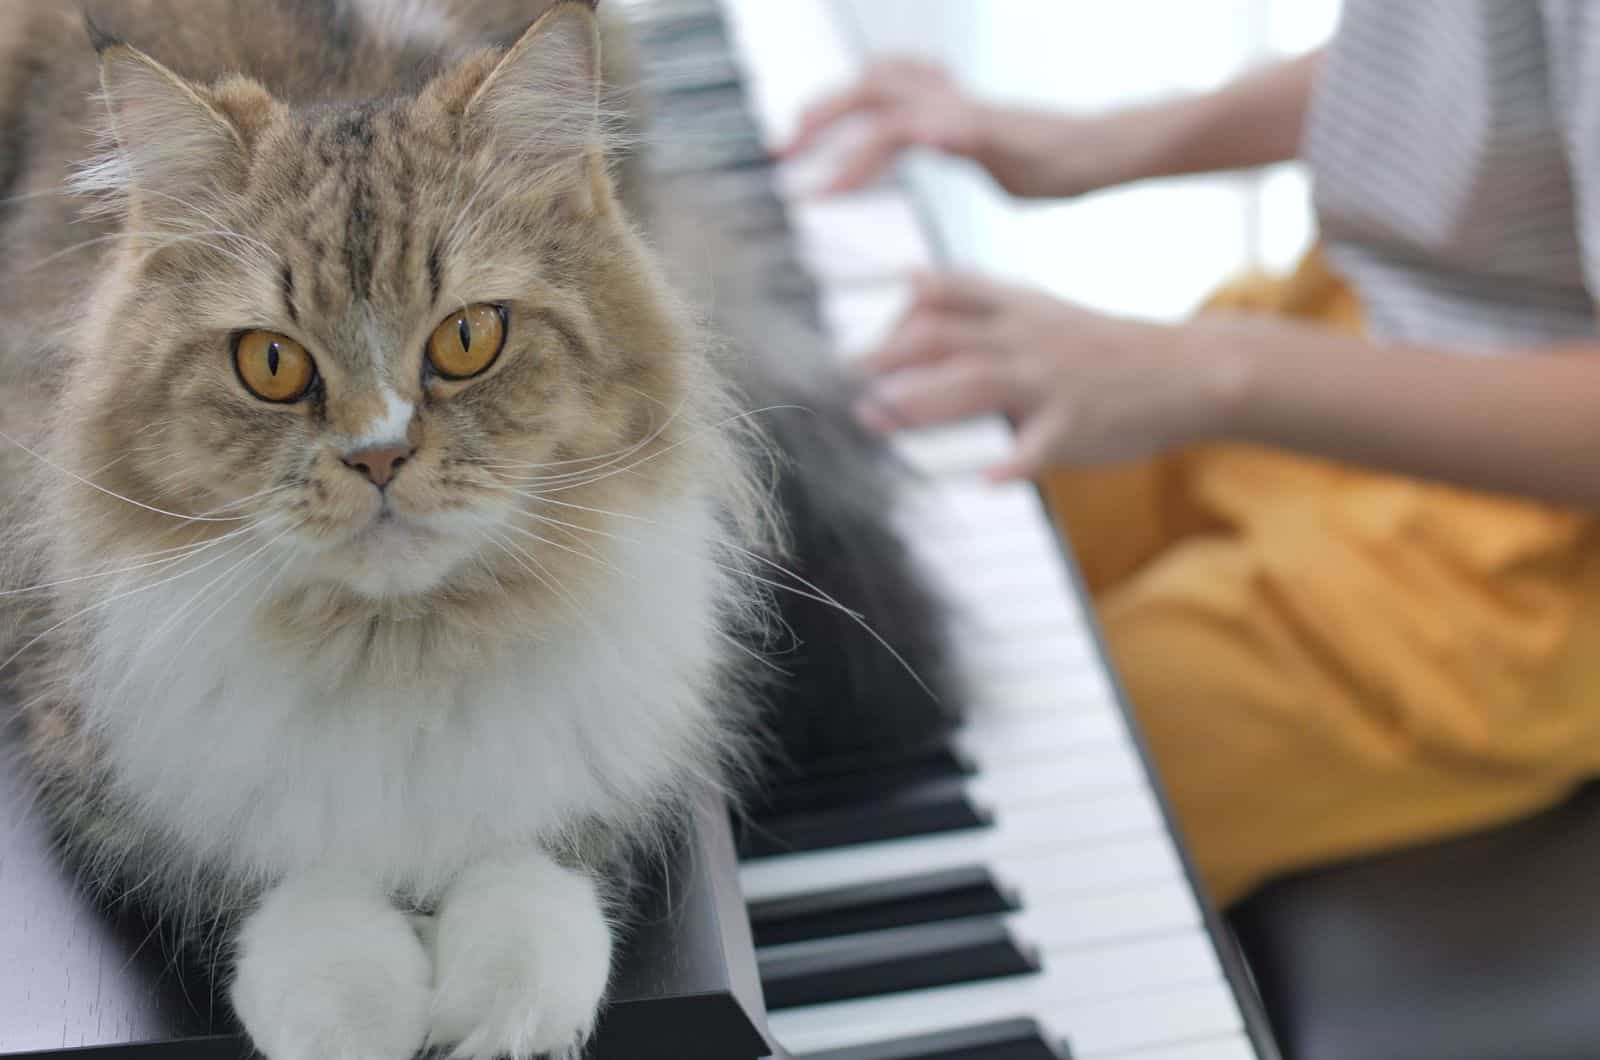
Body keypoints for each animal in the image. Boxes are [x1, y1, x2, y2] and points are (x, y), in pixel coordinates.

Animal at [0, 2, 953, 1060]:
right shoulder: (95, 745)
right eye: (272, 364)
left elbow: (539, 859)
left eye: (467, 339)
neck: (403, 654)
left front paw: (508, 1009)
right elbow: (279, 881)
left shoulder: (631, 729)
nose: (378, 458)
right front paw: (354, 1009)